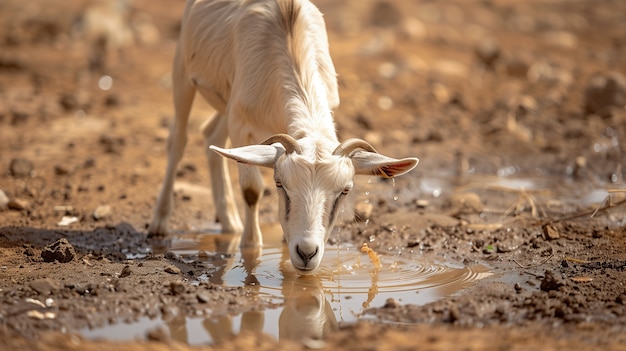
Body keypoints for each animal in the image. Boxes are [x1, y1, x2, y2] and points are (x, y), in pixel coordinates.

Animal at [149, 0, 416, 276]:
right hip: (183, 69)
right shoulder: (241, 124)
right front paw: (251, 249)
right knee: (178, 139)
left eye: (345, 190)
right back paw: (159, 223)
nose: (307, 252)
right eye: (279, 184)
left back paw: (230, 221)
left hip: (225, 100)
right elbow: (251, 190)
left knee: (212, 135)